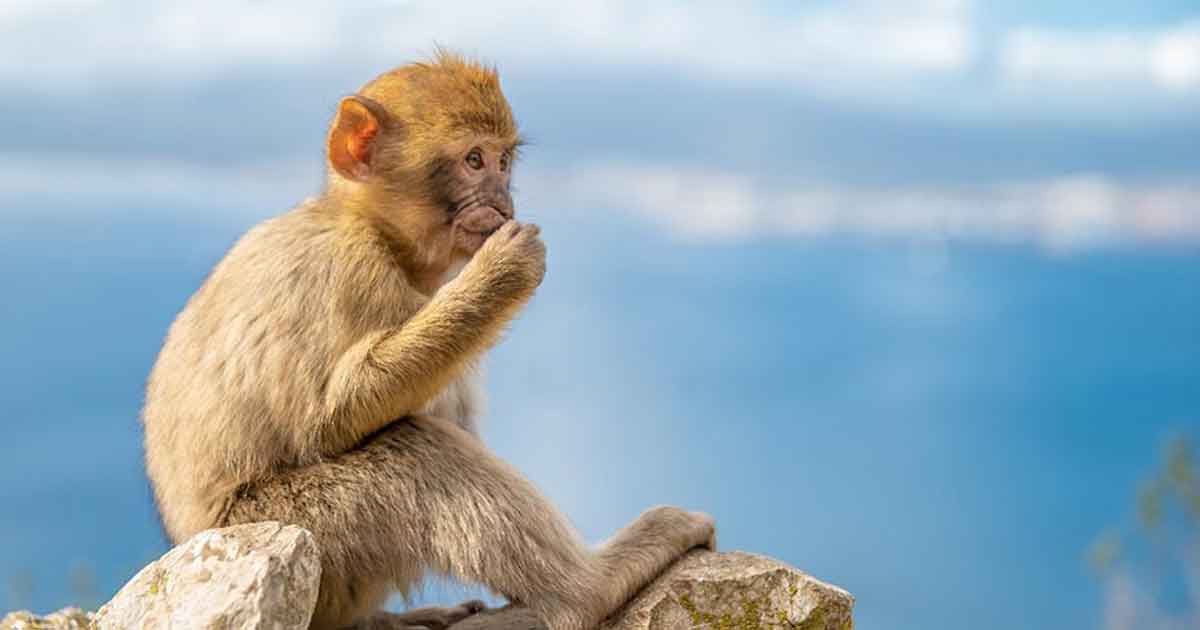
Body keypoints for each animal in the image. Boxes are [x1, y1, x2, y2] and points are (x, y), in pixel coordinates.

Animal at [141, 51, 715, 630]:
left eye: (504, 161)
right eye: (474, 160)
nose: (502, 200)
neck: (379, 233)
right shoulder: (350, 270)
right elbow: (332, 419)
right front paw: (500, 276)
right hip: (302, 531)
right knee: (413, 451)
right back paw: (585, 589)